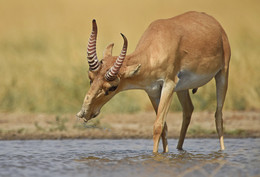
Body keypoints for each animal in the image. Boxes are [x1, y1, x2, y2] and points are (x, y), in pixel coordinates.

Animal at [76, 11, 231, 152]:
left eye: (112, 87)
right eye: (90, 78)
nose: (84, 113)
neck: (155, 49)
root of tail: (215, 23)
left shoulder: (169, 85)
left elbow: (158, 126)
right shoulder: (152, 91)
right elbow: (164, 127)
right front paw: (164, 153)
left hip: (222, 74)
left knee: (218, 115)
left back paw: (222, 150)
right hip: (182, 88)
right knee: (188, 110)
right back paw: (179, 149)